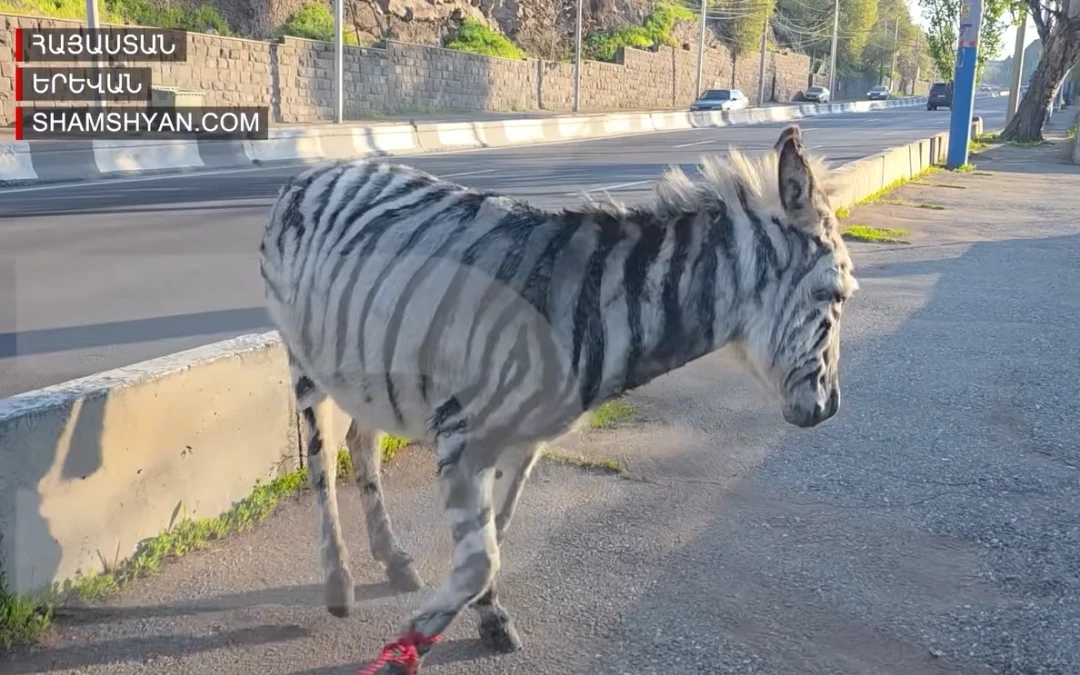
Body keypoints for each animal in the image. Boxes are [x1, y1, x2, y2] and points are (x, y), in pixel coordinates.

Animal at [258, 124, 859, 672]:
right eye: (834, 296)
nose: (829, 410)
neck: (587, 307)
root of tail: (320, 171)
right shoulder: (462, 438)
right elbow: (478, 560)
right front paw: (410, 646)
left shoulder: (526, 442)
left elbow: (496, 536)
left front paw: (489, 618)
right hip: (306, 365)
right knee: (320, 465)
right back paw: (338, 584)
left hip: (365, 362)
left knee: (362, 446)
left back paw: (394, 561)